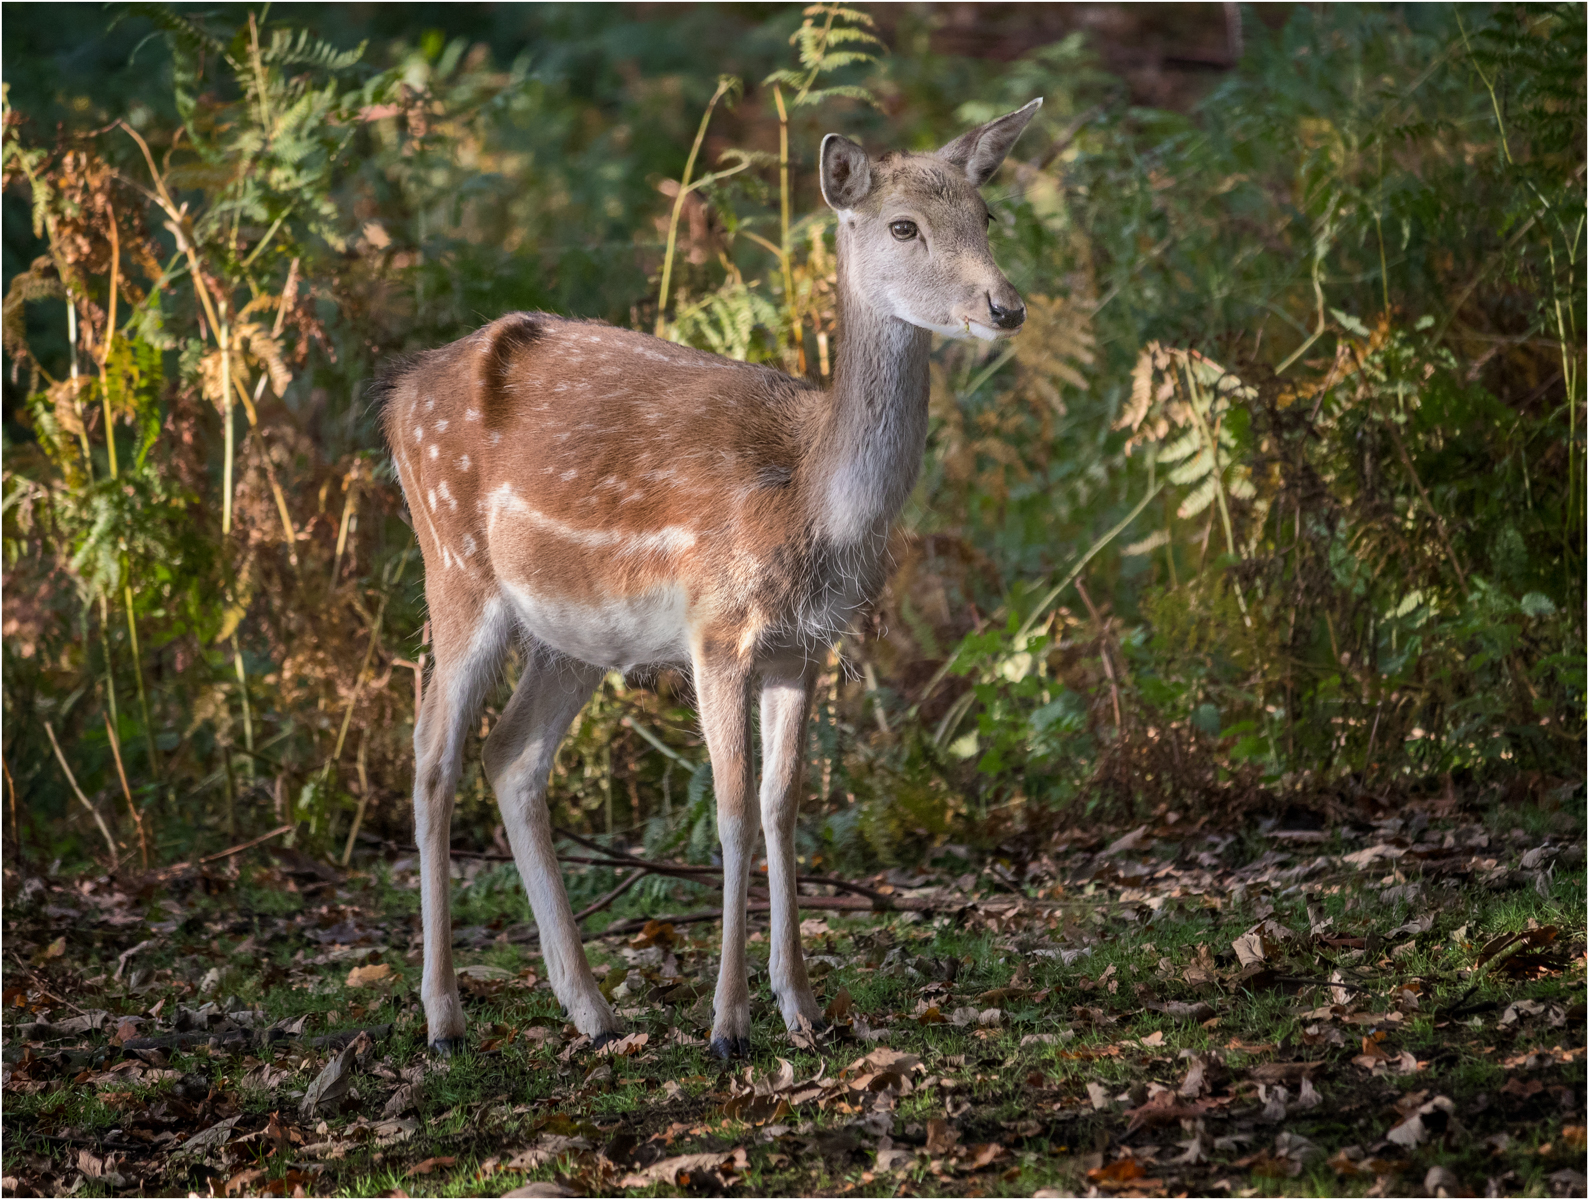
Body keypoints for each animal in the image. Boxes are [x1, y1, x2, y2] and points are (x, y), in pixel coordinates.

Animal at [381, 98, 1042, 1059]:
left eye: (985, 215)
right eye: (903, 225)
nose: (1004, 305)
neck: (808, 502)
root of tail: (397, 396)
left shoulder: (805, 644)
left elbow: (780, 806)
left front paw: (802, 1008)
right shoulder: (716, 626)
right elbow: (728, 810)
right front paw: (728, 1024)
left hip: (571, 633)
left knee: (510, 756)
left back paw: (592, 1010)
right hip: (455, 568)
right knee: (433, 753)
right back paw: (443, 1017)